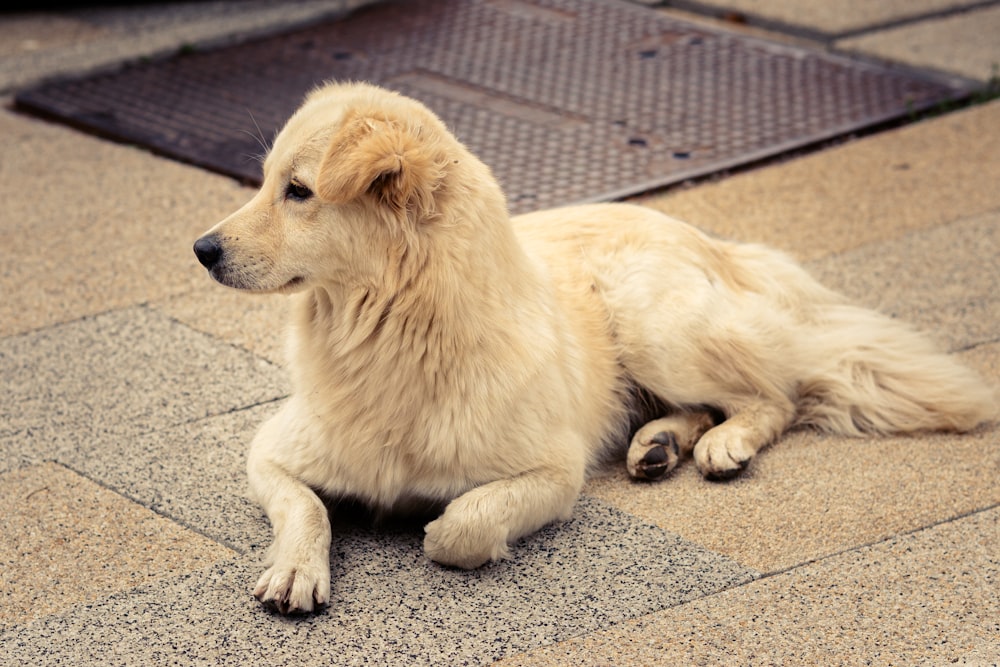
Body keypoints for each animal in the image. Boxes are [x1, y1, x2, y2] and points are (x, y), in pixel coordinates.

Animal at [193, 82, 992, 616]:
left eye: (298, 191)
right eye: (265, 183)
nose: (201, 249)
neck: (395, 334)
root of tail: (713, 240)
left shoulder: (552, 472)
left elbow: (461, 527)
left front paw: (437, 527)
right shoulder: (271, 449)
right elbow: (306, 508)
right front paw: (297, 570)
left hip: (653, 322)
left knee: (774, 395)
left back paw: (722, 444)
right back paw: (660, 443)